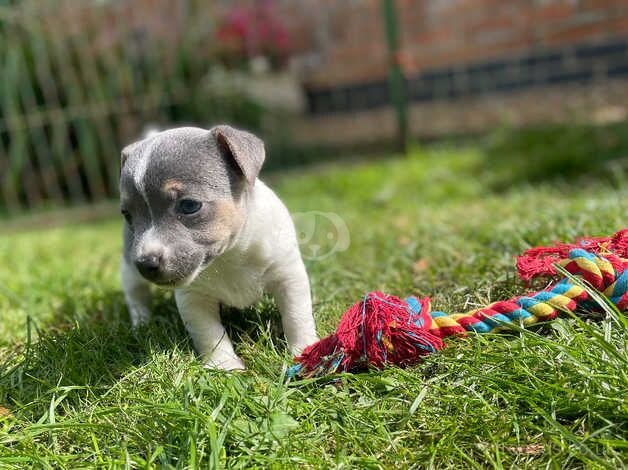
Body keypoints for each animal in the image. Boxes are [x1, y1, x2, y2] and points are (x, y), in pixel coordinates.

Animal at [119, 126, 318, 370]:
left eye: (189, 205)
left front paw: (304, 350)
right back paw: (142, 324)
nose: (145, 263)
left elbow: (296, 316)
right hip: (129, 271)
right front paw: (225, 367)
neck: (227, 257)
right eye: (127, 215)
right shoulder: (193, 299)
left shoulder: (288, 277)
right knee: (136, 295)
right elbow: (210, 334)